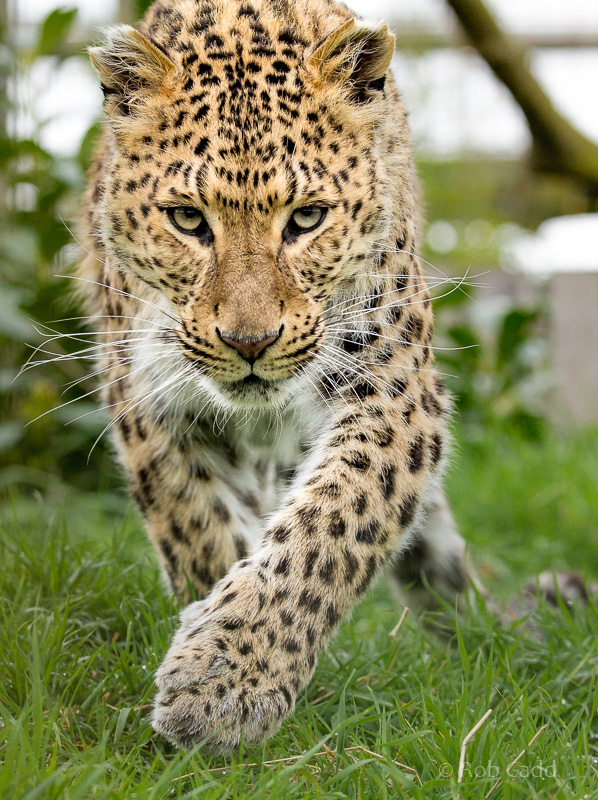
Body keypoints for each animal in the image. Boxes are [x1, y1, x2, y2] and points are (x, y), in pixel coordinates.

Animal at [76, 0, 591, 754]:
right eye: (188, 220)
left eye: (308, 218)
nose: (250, 342)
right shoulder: (149, 402)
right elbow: (202, 532)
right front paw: (221, 664)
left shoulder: (394, 389)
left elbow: (332, 525)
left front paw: (226, 682)